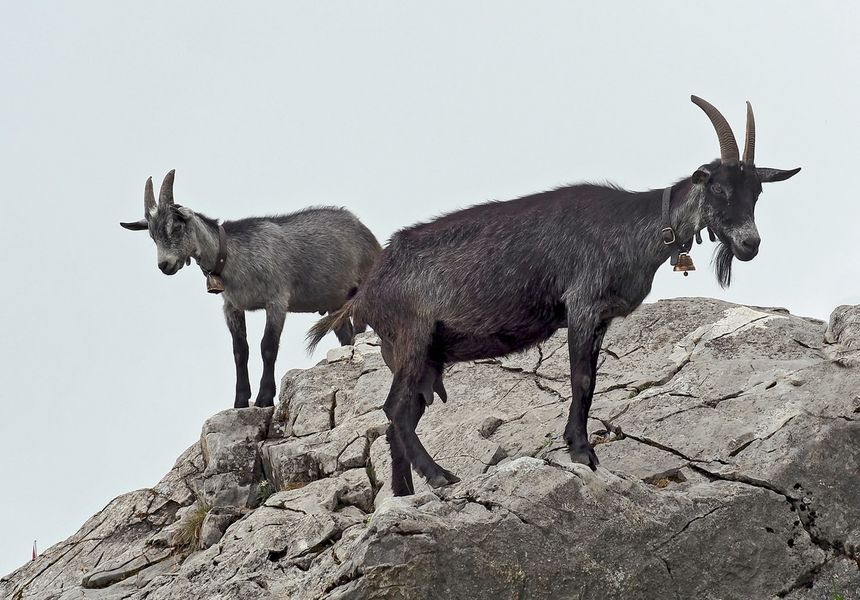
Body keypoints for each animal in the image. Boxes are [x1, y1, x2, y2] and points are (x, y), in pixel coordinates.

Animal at [121, 171, 380, 410]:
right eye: (152, 235)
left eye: (175, 226)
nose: (165, 265)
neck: (233, 256)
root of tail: (368, 233)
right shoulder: (232, 307)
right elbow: (240, 351)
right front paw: (240, 400)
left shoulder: (277, 300)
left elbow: (268, 346)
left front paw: (265, 397)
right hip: (335, 304)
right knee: (346, 335)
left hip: (361, 290)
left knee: (360, 329)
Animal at [310, 96, 800, 494]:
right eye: (717, 186)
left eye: (757, 191)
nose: (750, 244)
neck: (632, 226)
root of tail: (368, 288)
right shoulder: (582, 305)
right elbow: (582, 379)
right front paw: (582, 452)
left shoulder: (599, 318)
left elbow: (590, 379)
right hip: (412, 338)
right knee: (395, 410)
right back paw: (440, 476)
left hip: (419, 355)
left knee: (401, 418)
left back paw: (404, 494)